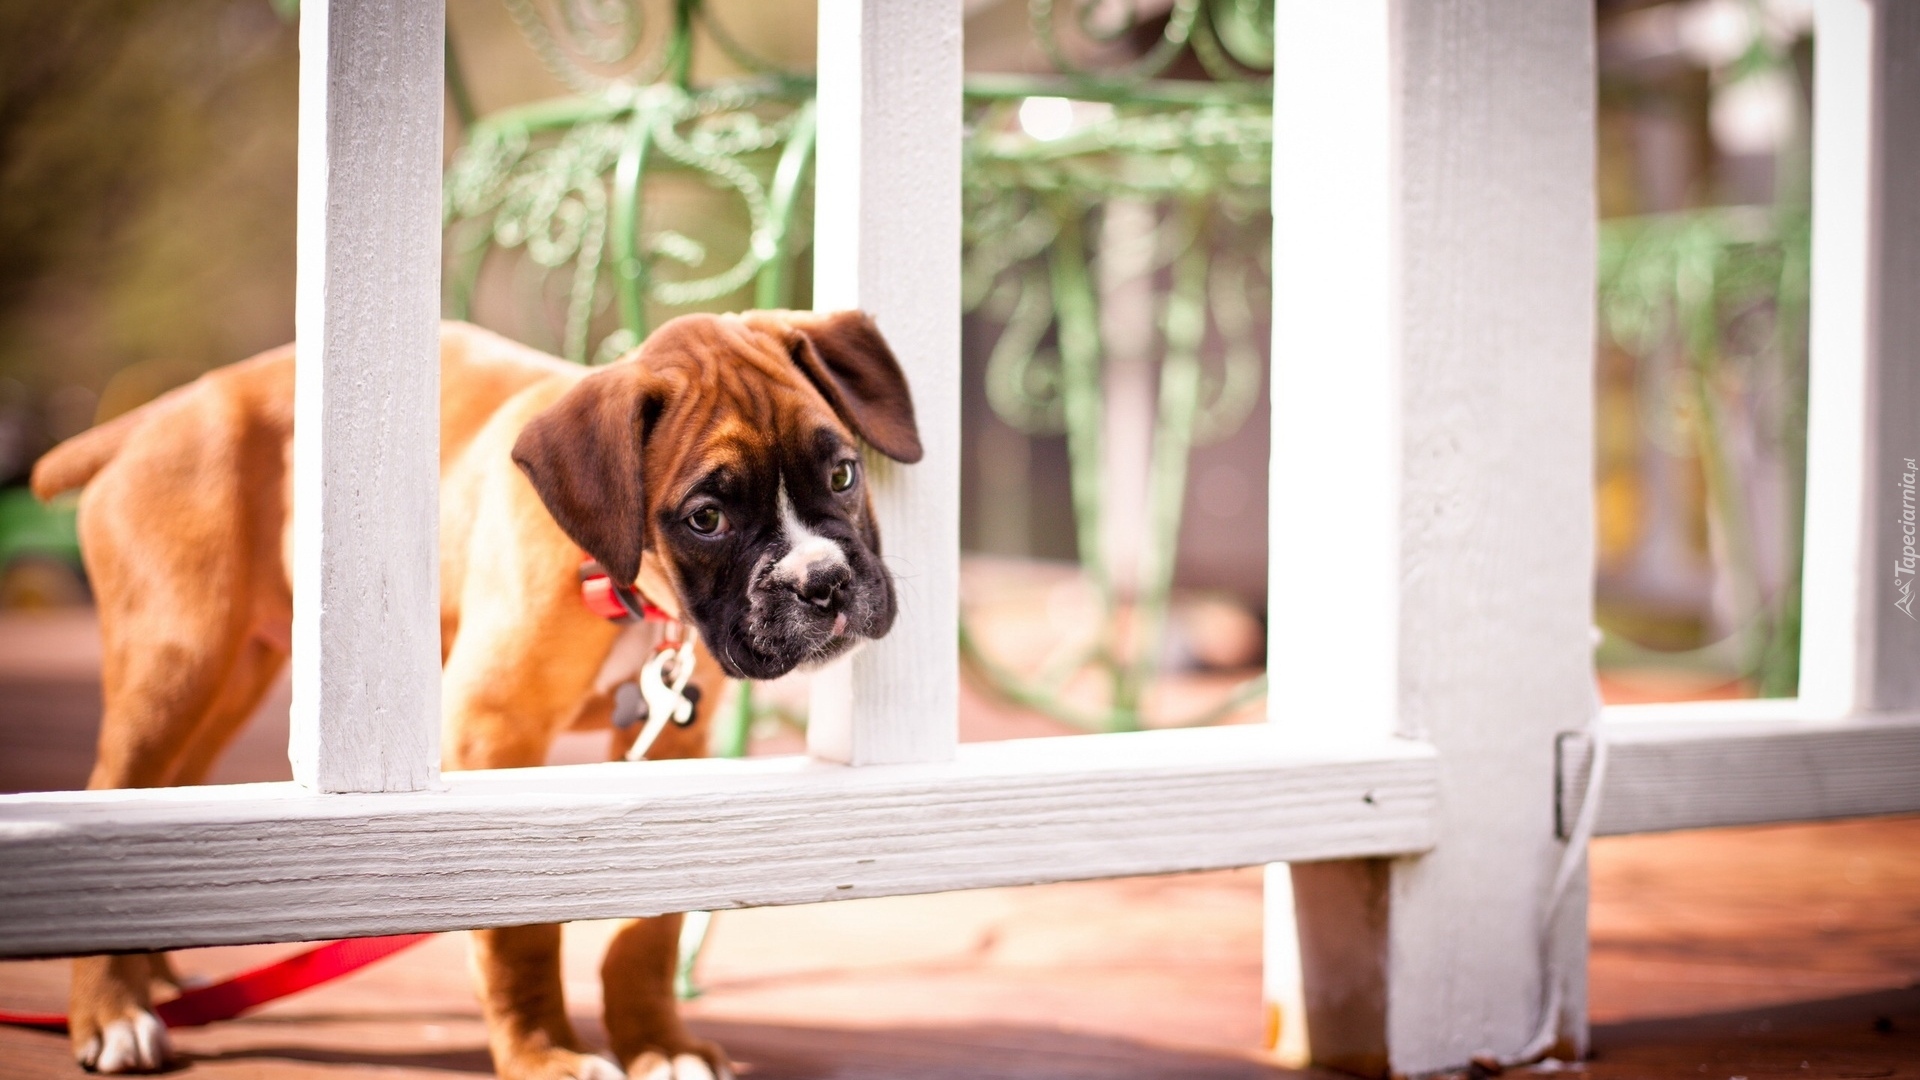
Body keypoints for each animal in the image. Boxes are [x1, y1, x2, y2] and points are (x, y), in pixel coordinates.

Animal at [30, 307, 925, 1068]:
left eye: (843, 474)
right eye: (707, 519)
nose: (822, 583)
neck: (621, 579)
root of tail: (167, 410)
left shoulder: (675, 745)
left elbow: (650, 925)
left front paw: (659, 1046)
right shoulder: (492, 735)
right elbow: (516, 931)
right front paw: (545, 1055)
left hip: (227, 682)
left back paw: (151, 980)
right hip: (173, 665)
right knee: (115, 795)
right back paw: (111, 1013)